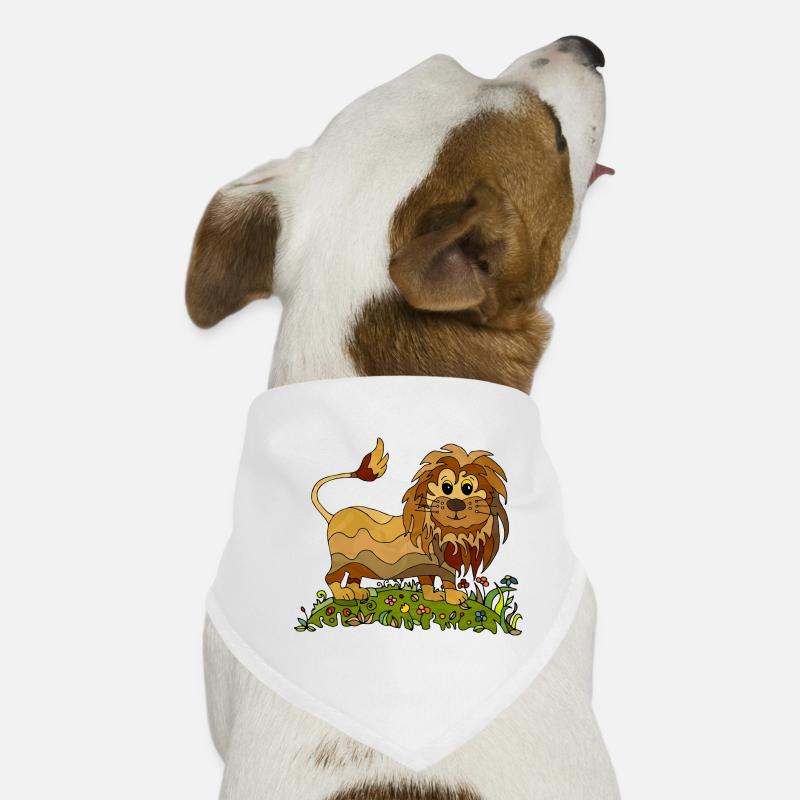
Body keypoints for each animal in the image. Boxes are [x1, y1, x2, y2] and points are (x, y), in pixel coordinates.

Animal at [311, 439, 509, 605]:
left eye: (468, 488)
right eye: (446, 487)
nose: (455, 503)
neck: (447, 531)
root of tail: (333, 516)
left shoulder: (429, 565)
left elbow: (428, 582)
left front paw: (433, 596)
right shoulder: (439, 563)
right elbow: (448, 581)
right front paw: (454, 597)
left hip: (358, 563)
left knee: (354, 575)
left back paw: (358, 592)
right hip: (341, 558)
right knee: (330, 577)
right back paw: (342, 594)